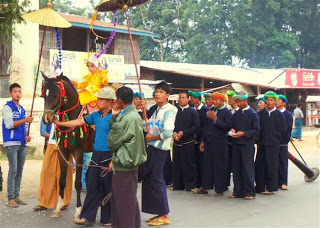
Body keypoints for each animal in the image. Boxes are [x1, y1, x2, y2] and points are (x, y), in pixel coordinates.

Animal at [40, 72, 94, 219]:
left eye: (55, 95)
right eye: (43, 95)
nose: (46, 119)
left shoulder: (78, 152)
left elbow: (78, 183)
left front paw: (78, 211)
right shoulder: (63, 152)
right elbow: (62, 181)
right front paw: (58, 208)